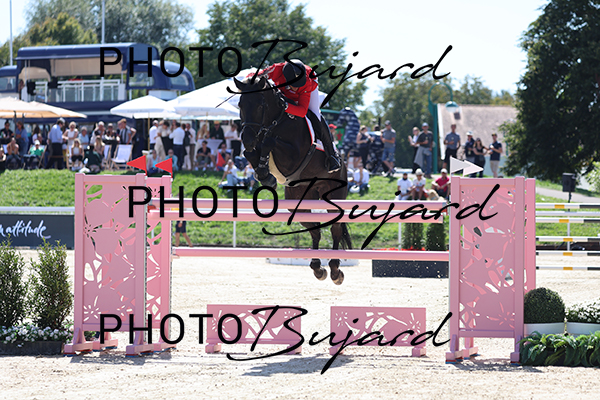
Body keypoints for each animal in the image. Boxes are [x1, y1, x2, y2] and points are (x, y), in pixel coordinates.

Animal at [234, 76, 352, 285]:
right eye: (240, 104)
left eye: (260, 105)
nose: (247, 139)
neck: (276, 120)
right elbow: (251, 153)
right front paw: (264, 174)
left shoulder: (294, 157)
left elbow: (269, 142)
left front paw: (264, 170)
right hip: (300, 202)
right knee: (315, 230)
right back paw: (317, 268)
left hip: (334, 195)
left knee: (335, 229)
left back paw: (335, 270)